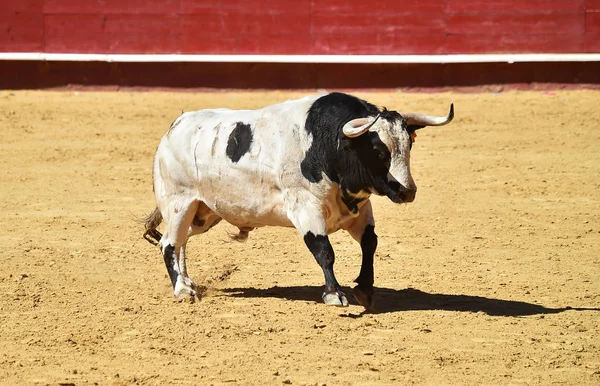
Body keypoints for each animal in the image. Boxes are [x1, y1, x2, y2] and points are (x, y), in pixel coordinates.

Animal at [145, 92, 452, 310]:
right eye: (378, 150)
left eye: (409, 144)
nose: (407, 190)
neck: (328, 143)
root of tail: (174, 128)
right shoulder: (306, 207)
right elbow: (324, 250)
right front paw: (334, 294)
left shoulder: (360, 211)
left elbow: (370, 244)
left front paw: (364, 290)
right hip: (179, 203)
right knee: (169, 243)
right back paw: (182, 290)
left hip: (204, 212)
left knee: (180, 240)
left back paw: (188, 282)